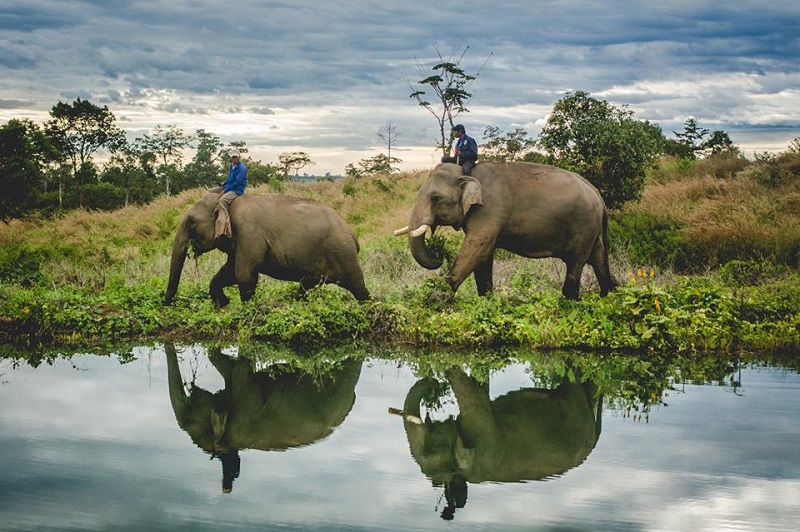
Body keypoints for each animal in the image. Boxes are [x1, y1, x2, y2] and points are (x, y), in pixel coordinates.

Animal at [396, 161, 620, 300]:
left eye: (436, 198)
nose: (438, 252)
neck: (467, 172)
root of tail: (597, 194)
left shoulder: (490, 210)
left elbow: (478, 249)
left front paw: (437, 298)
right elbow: (484, 256)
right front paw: (486, 299)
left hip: (583, 225)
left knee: (576, 263)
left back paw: (568, 301)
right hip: (590, 229)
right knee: (598, 258)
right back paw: (610, 294)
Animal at [396, 366, 604, 520]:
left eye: (430, 450)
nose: (435, 384)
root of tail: (594, 442)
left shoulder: (482, 431)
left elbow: (470, 389)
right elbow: (479, 386)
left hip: (576, 418)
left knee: (573, 383)